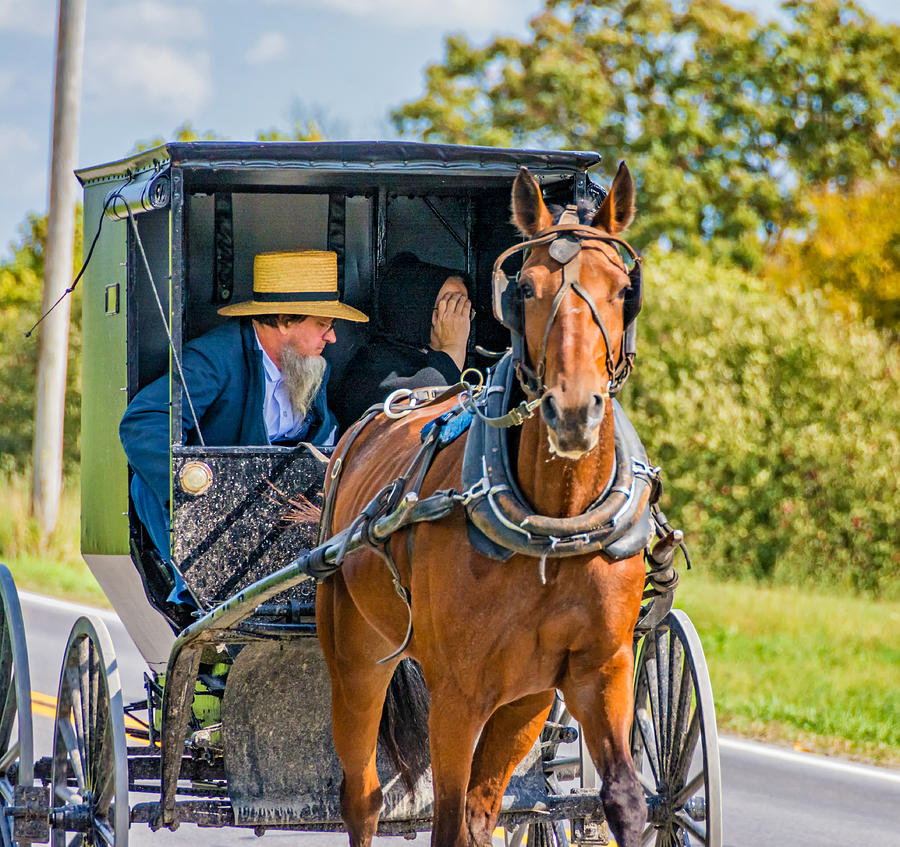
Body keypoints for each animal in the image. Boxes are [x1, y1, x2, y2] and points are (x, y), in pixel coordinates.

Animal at [316, 164, 648, 847]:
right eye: (523, 288)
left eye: (624, 291)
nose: (572, 413)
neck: (553, 528)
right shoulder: (459, 694)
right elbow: (445, 820)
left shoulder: (593, 672)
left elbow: (624, 799)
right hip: (356, 659)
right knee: (361, 796)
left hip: (522, 699)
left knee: (480, 805)